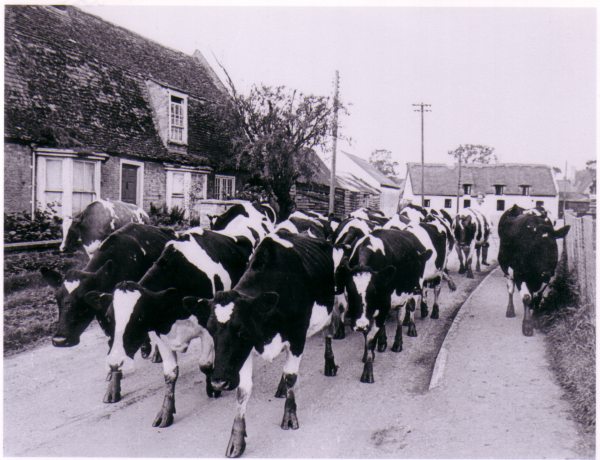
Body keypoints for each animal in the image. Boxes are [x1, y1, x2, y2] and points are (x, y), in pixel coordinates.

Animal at [103, 228, 253, 426]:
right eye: (109, 318)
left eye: (140, 318)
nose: (115, 361)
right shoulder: (160, 335)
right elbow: (170, 374)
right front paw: (166, 413)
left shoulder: (207, 331)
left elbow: (204, 365)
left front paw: (213, 388)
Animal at [183, 232, 338, 458]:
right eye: (211, 330)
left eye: (241, 330)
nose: (218, 381)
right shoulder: (245, 351)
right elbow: (243, 391)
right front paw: (237, 439)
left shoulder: (297, 336)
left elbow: (292, 376)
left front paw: (289, 416)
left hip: (332, 305)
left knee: (329, 331)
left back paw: (330, 364)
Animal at [338, 230, 432, 384]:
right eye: (350, 291)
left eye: (374, 291)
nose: (359, 325)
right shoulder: (365, 314)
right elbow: (367, 335)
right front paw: (367, 353)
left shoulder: (381, 306)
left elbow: (370, 339)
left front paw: (367, 373)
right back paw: (382, 343)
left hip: (408, 292)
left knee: (402, 317)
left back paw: (398, 343)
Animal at [500, 205, 568, 334]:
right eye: (535, 247)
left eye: (554, 246)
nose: (546, 272)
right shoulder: (519, 274)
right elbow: (527, 298)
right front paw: (527, 325)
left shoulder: (546, 278)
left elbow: (537, 297)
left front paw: (535, 320)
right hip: (507, 269)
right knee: (510, 289)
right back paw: (510, 310)